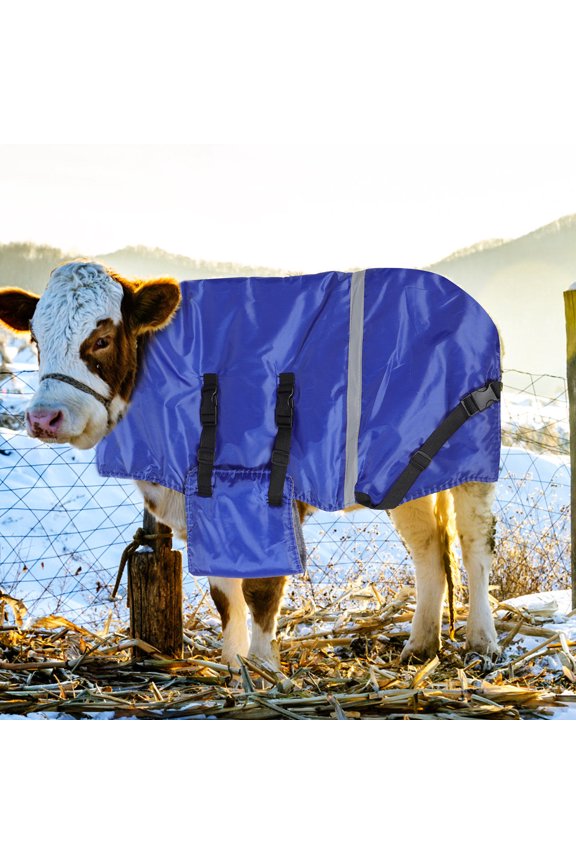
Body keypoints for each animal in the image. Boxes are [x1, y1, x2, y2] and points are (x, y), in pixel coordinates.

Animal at [0, 261, 500, 668]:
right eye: (36, 340)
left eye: (102, 340)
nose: (43, 418)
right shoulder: (201, 499)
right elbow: (224, 593)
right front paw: (233, 664)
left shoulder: (267, 492)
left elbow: (261, 588)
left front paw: (262, 669)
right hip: (401, 473)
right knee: (428, 546)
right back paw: (421, 645)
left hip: (472, 461)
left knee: (474, 543)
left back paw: (482, 641)